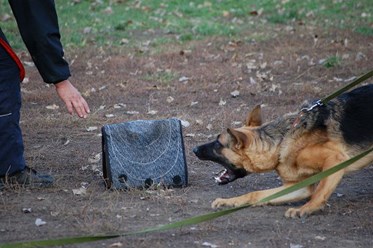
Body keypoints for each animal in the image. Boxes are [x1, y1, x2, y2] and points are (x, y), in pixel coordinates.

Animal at [192, 84, 372, 218]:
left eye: (218, 143)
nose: (193, 149)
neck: (282, 141)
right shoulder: (299, 187)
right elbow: (255, 194)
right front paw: (229, 201)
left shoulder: (336, 159)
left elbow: (319, 193)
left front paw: (306, 208)